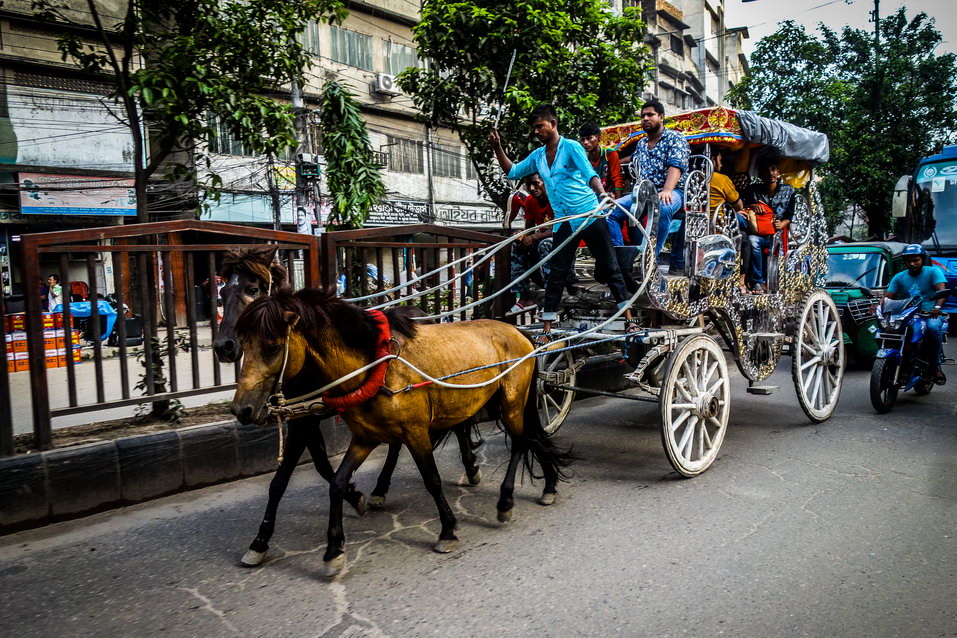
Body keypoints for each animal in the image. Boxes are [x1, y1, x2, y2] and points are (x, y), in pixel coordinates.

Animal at [214, 248, 482, 568]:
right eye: (222, 291)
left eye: (252, 288)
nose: (223, 346)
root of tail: (423, 315)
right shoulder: (305, 418)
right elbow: (315, 467)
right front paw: (354, 497)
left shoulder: (305, 423)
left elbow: (288, 477)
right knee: (397, 444)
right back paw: (380, 489)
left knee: (459, 424)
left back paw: (470, 467)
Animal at [231, 290, 568, 580]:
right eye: (243, 344)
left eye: (273, 346)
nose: (241, 409)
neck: (372, 364)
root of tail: (519, 332)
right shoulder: (363, 437)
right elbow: (335, 483)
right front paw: (333, 550)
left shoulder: (415, 432)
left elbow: (432, 480)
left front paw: (447, 530)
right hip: (494, 403)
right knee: (528, 438)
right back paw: (548, 484)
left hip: (510, 404)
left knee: (521, 441)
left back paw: (505, 501)